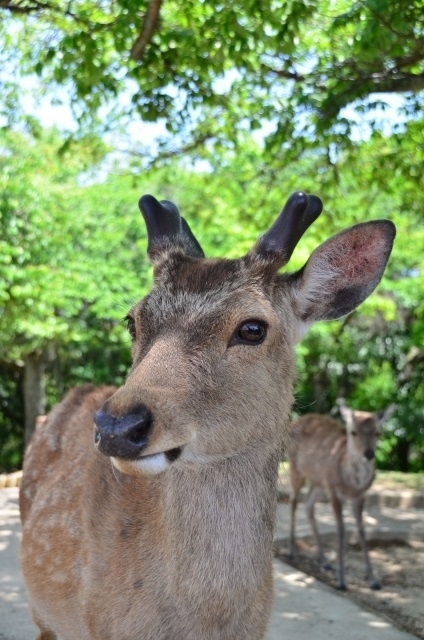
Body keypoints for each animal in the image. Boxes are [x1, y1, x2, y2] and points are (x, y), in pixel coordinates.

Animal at [288, 400, 394, 592]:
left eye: (377, 432)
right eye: (353, 432)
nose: (369, 454)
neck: (351, 483)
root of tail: (295, 421)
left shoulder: (359, 495)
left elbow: (362, 530)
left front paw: (374, 580)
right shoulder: (333, 489)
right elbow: (341, 530)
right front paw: (341, 581)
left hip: (318, 481)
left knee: (308, 504)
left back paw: (324, 560)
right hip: (296, 468)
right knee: (293, 500)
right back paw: (292, 551)